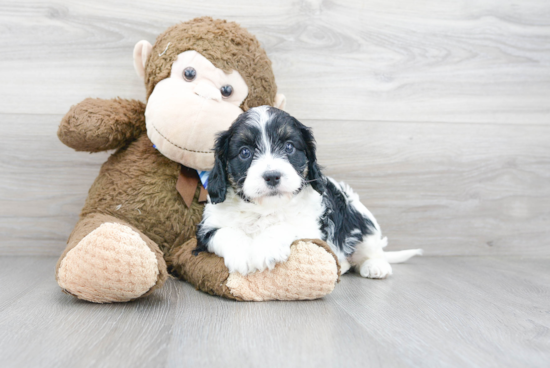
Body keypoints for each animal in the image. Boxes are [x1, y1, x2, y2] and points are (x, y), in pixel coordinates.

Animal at [196, 105, 424, 278]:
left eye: (289, 147)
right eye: (245, 152)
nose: (272, 176)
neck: (265, 209)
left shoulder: (312, 227)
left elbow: (285, 225)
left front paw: (265, 248)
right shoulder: (205, 230)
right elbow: (224, 231)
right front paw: (242, 253)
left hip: (359, 217)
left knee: (371, 246)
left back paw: (376, 266)